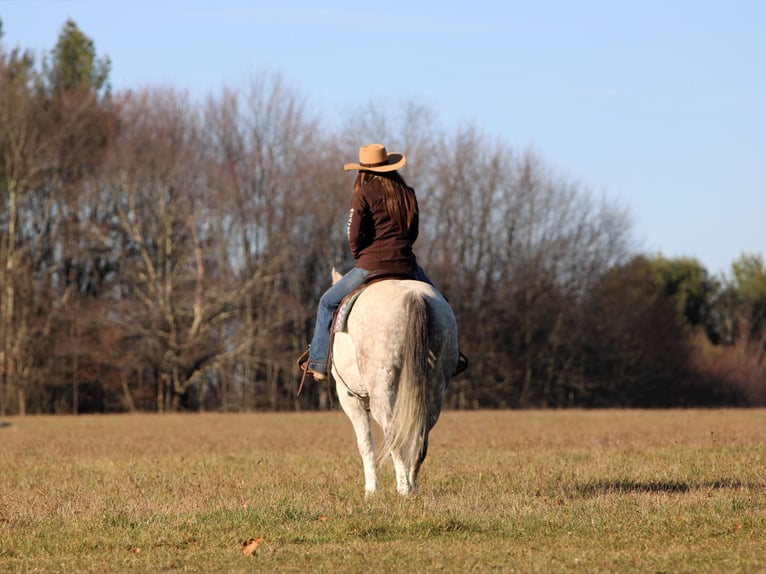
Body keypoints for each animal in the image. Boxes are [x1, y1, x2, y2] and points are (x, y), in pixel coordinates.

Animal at [330, 272, 459, 496]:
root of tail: (414, 295)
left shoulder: (349, 398)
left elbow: (365, 443)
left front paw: (371, 489)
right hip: (435, 388)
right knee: (420, 438)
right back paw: (412, 485)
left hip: (381, 393)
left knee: (394, 437)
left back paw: (404, 488)